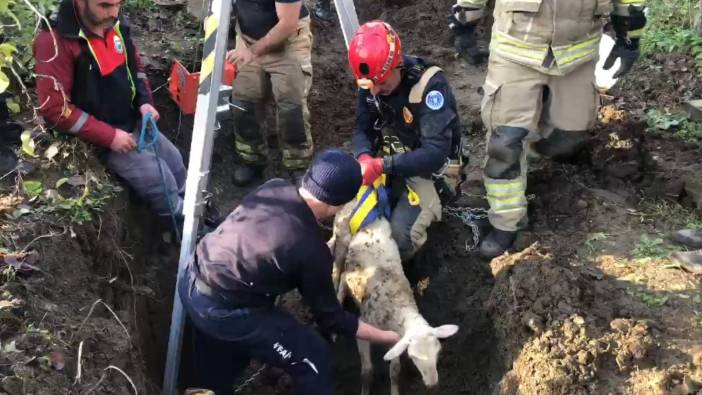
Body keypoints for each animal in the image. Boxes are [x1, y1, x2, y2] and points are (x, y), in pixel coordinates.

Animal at [332, 201, 462, 395]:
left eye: (438, 352)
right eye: (414, 357)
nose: (432, 385)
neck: (398, 304)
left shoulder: (395, 339)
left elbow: (394, 372)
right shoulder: (363, 328)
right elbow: (367, 371)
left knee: (344, 276)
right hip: (341, 237)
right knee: (336, 273)